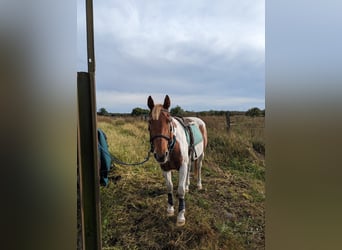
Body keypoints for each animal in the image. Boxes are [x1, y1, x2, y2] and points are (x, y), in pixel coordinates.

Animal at [146, 94, 207, 227]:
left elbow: (180, 190)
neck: (172, 146)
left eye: (169, 121)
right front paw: (170, 209)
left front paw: (180, 216)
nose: (161, 155)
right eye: (149, 121)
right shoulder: (165, 167)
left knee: (199, 168)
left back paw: (199, 185)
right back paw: (188, 185)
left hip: (200, 156)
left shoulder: (182, 166)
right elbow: (169, 187)